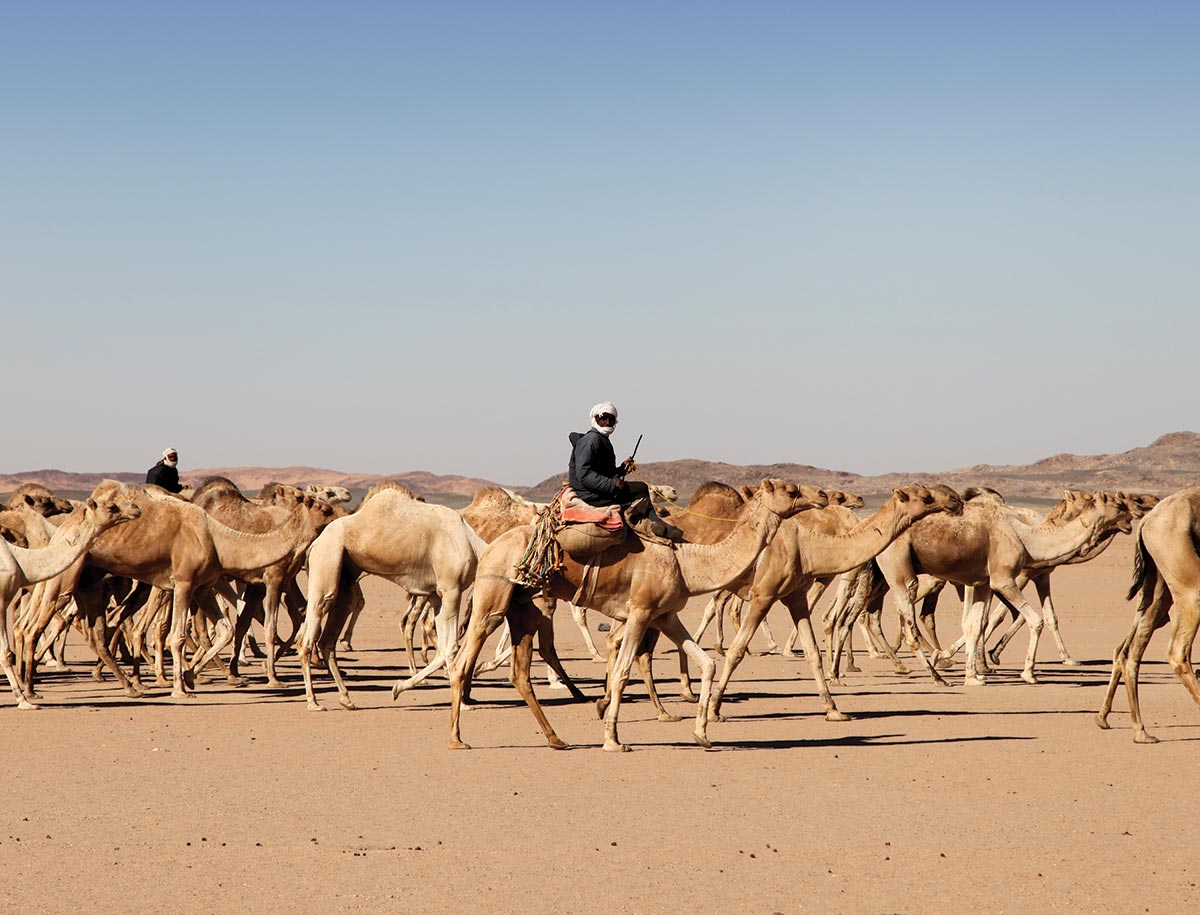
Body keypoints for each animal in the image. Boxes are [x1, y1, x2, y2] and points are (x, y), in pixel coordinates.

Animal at [295, 484, 485, 710]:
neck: (472, 544)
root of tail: (315, 543)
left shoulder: (436, 595)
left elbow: (444, 648)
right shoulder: (451, 588)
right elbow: (451, 647)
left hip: (345, 577)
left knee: (327, 638)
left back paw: (346, 698)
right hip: (327, 560)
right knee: (309, 633)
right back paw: (313, 702)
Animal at [447, 479, 822, 752]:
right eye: (791, 490)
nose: (821, 495)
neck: (686, 562)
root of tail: (490, 546)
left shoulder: (665, 615)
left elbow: (707, 663)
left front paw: (702, 733)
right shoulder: (641, 611)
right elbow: (623, 671)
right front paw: (612, 740)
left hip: (524, 607)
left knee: (521, 673)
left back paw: (556, 739)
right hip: (493, 598)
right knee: (464, 659)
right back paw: (457, 738)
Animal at [706, 484, 965, 721]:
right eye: (926, 496)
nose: (955, 499)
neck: (808, 548)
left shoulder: (796, 597)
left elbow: (812, 652)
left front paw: (833, 709)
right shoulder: (764, 595)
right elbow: (736, 651)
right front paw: (714, 710)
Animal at [837, 491, 1133, 688]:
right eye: (1119, 504)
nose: (1132, 519)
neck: (1026, 536)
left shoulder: (981, 583)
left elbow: (974, 624)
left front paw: (974, 676)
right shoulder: (1004, 579)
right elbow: (1034, 620)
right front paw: (1028, 673)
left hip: (877, 574)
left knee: (857, 614)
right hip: (899, 570)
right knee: (900, 616)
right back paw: (936, 676)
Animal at [1097, 488, 1200, 743]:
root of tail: (1147, 522)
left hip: (1160, 585)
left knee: (1131, 649)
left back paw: (1137, 730)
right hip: (1186, 578)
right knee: (1176, 652)